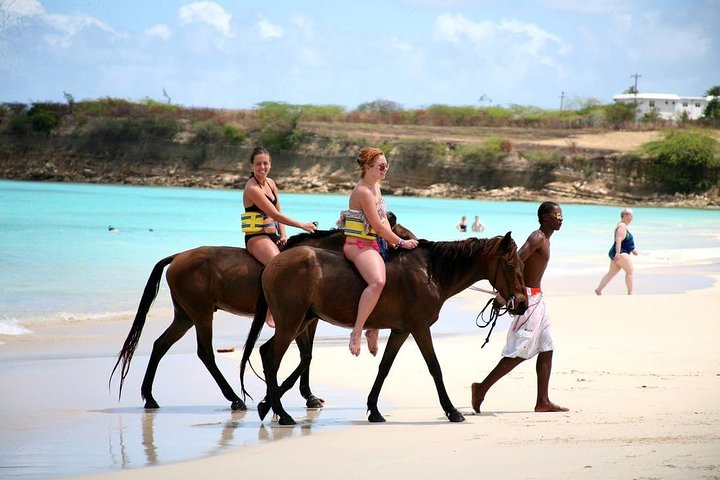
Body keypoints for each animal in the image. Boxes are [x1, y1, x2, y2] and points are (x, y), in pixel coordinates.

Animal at [108, 219, 416, 410]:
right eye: (398, 229)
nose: (413, 242)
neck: (320, 258)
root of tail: (177, 256)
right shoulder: (300, 319)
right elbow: (305, 356)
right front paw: (281, 395)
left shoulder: (309, 319)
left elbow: (307, 356)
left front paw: (306, 396)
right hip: (202, 314)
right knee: (205, 353)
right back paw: (234, 398)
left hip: (184, 316)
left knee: (160, 345)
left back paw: (149, 397)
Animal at [239, 232, 524, 424]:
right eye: (510, 265)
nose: (522, 303)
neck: (431, 272)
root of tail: (275, 262)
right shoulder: (420, 328)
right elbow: (435, 368)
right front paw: (452, 411)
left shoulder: (401, 331)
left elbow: (384, 368)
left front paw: (374, 410)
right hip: (292, 321)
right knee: (271, 357)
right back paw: (281, 413)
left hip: (302, 320)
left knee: (268, 352)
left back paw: (269, 406)